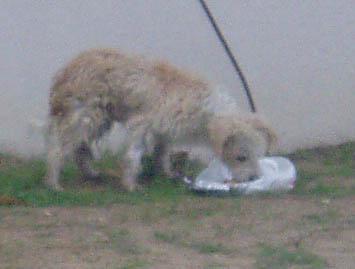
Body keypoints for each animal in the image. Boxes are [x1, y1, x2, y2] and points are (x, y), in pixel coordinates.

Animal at [46, 48, 276, 191]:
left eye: (258, 155)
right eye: (241, 157)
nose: (254, 179)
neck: (206, 109)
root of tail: (65, 72)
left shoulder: (163, 130)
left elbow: (161, 153)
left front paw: (166, 174)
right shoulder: (141, 124)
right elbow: (133, 155)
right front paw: (131, 185)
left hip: (98, 119)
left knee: (80, 149)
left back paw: (90, 173)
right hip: (86, 116)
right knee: (58, 150)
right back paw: (54, 184)